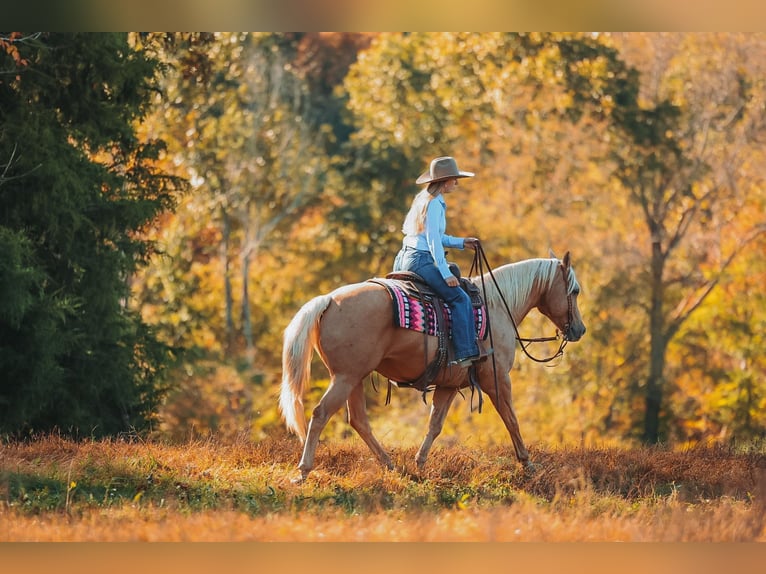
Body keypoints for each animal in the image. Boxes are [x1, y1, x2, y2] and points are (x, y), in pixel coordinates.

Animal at [279, 251, 586, 482]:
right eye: (575, 290)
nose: (579, 329)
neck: (497, 305)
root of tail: (329, 300)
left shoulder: (449, 384)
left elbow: (435, 424)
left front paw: (420, 463)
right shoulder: (496, 378)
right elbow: (511, 419)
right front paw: (527, 464)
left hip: (353, 378)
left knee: (358, 421)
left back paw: (391, 465)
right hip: (345, 377)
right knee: (321, 414)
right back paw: (303, 471)